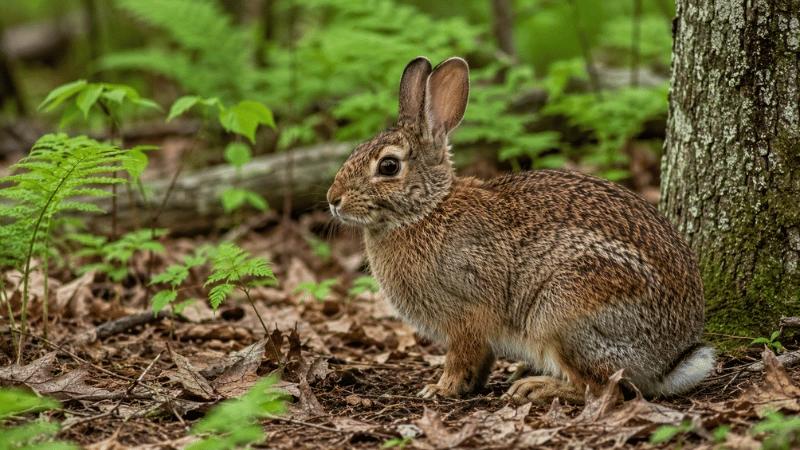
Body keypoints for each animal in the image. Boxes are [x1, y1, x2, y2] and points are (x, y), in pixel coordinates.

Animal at [326, 56, 715, 404]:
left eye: (388, 167)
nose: (333, 199)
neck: (427, 210)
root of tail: (667, 362)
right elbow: (481, 360)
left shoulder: (467, 314)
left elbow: (461, 356)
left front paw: (441, 388)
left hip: (564, 313)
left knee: (607, 389)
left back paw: (536, 388)